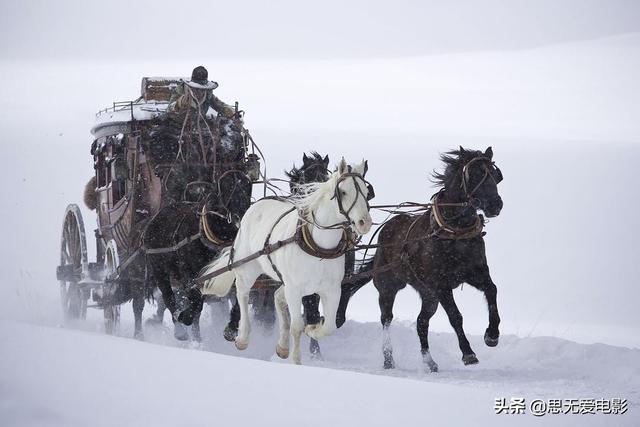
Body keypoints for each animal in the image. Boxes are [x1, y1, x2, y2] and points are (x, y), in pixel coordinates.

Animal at [199, 159, 370, 366]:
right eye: (343, 192)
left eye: (367, 192)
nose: (364, 223)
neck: (318, 247)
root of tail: (257, 205)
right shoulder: (295, 289)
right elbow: (297, 326)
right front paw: (296, 361)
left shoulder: (331, 290)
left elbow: (329, 326)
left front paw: (312, 330)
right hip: (248, 268)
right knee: (242, 295)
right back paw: (242, 337)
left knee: (277, 297)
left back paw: (282, 346)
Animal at [338, 147, 502, 372]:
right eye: (475, 174)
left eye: (495, 175)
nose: (496, 205)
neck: (454, 232)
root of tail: (385, 232)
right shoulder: (441, 285)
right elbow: (455, 316)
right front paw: (468, 353)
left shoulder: (475, 273)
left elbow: (492, 290)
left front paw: (492, 335)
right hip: (389, 286)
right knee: (386, 319)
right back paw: (388, 358)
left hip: (428, 295)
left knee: (421, 322)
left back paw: (429, 361)